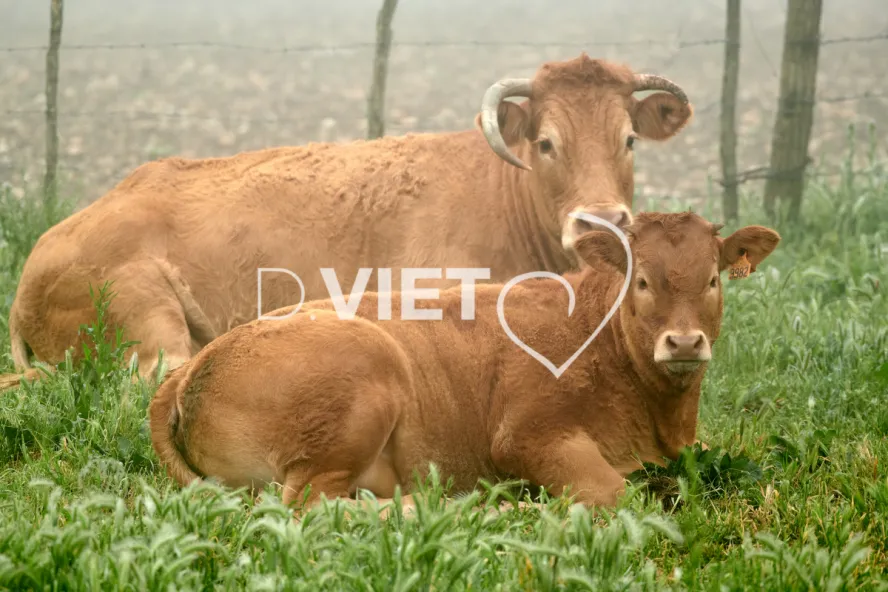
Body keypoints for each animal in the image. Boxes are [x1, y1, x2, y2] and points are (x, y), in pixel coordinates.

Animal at [148, 211, 781, 515]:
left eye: (713, 279)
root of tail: (192, 367)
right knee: (312, 507)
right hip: (359, 391)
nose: (684, 343)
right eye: (642, 281)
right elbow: (618, 496)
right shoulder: (527, 435)